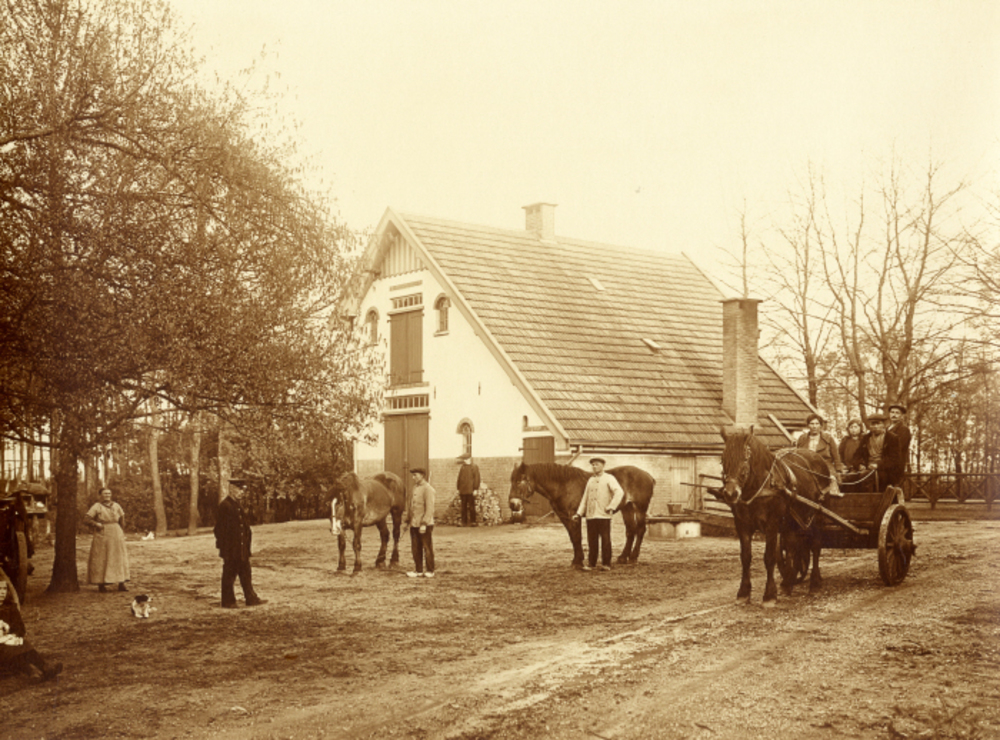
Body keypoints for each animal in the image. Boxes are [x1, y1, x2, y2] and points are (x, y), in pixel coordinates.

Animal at [508, 462, 656, 568]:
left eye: (519, 481)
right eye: (511, 481)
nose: (513, 505)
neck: (563, 486)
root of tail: (647, 475)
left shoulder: (574, 516)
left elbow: (577, 537)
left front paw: (578, 562)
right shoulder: (564, 518)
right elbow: (572, 538)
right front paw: (576, 560)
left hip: (640, 508)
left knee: (640, 530)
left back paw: (633, 558)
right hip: (627, 508)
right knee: (630, 531)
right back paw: (622, 558)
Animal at [718, 425, 832, 606]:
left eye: (745, 458)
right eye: (723, 459)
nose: (730, 493)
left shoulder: (771, 525)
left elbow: (769, 557)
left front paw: (769, 595)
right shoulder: (742, 525)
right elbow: (746, 557)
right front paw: (743, 592)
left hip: (817, 517)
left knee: (815, 546)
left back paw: (814, 582)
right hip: (792, 522)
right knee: (794, 548)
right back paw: (788, 583)